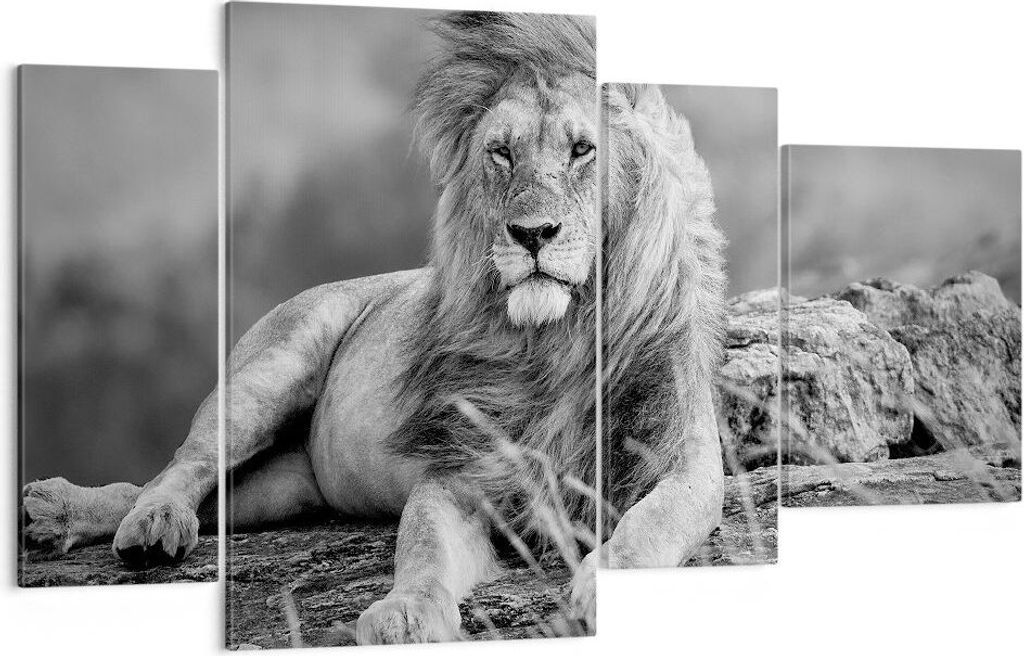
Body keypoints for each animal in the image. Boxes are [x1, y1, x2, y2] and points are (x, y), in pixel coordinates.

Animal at [21, 12, 726, 644]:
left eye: (583, 150)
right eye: (501, 154)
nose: (531, 234)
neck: (561, 340)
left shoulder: (685, 462)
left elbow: (649, 527)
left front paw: (601, 589)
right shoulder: (462, 474)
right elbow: (421, 545)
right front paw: (405, 614)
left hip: (285, 489)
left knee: (195, 496)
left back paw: (58, 515)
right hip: (271, 368)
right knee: (181, 468)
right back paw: (137, 522)